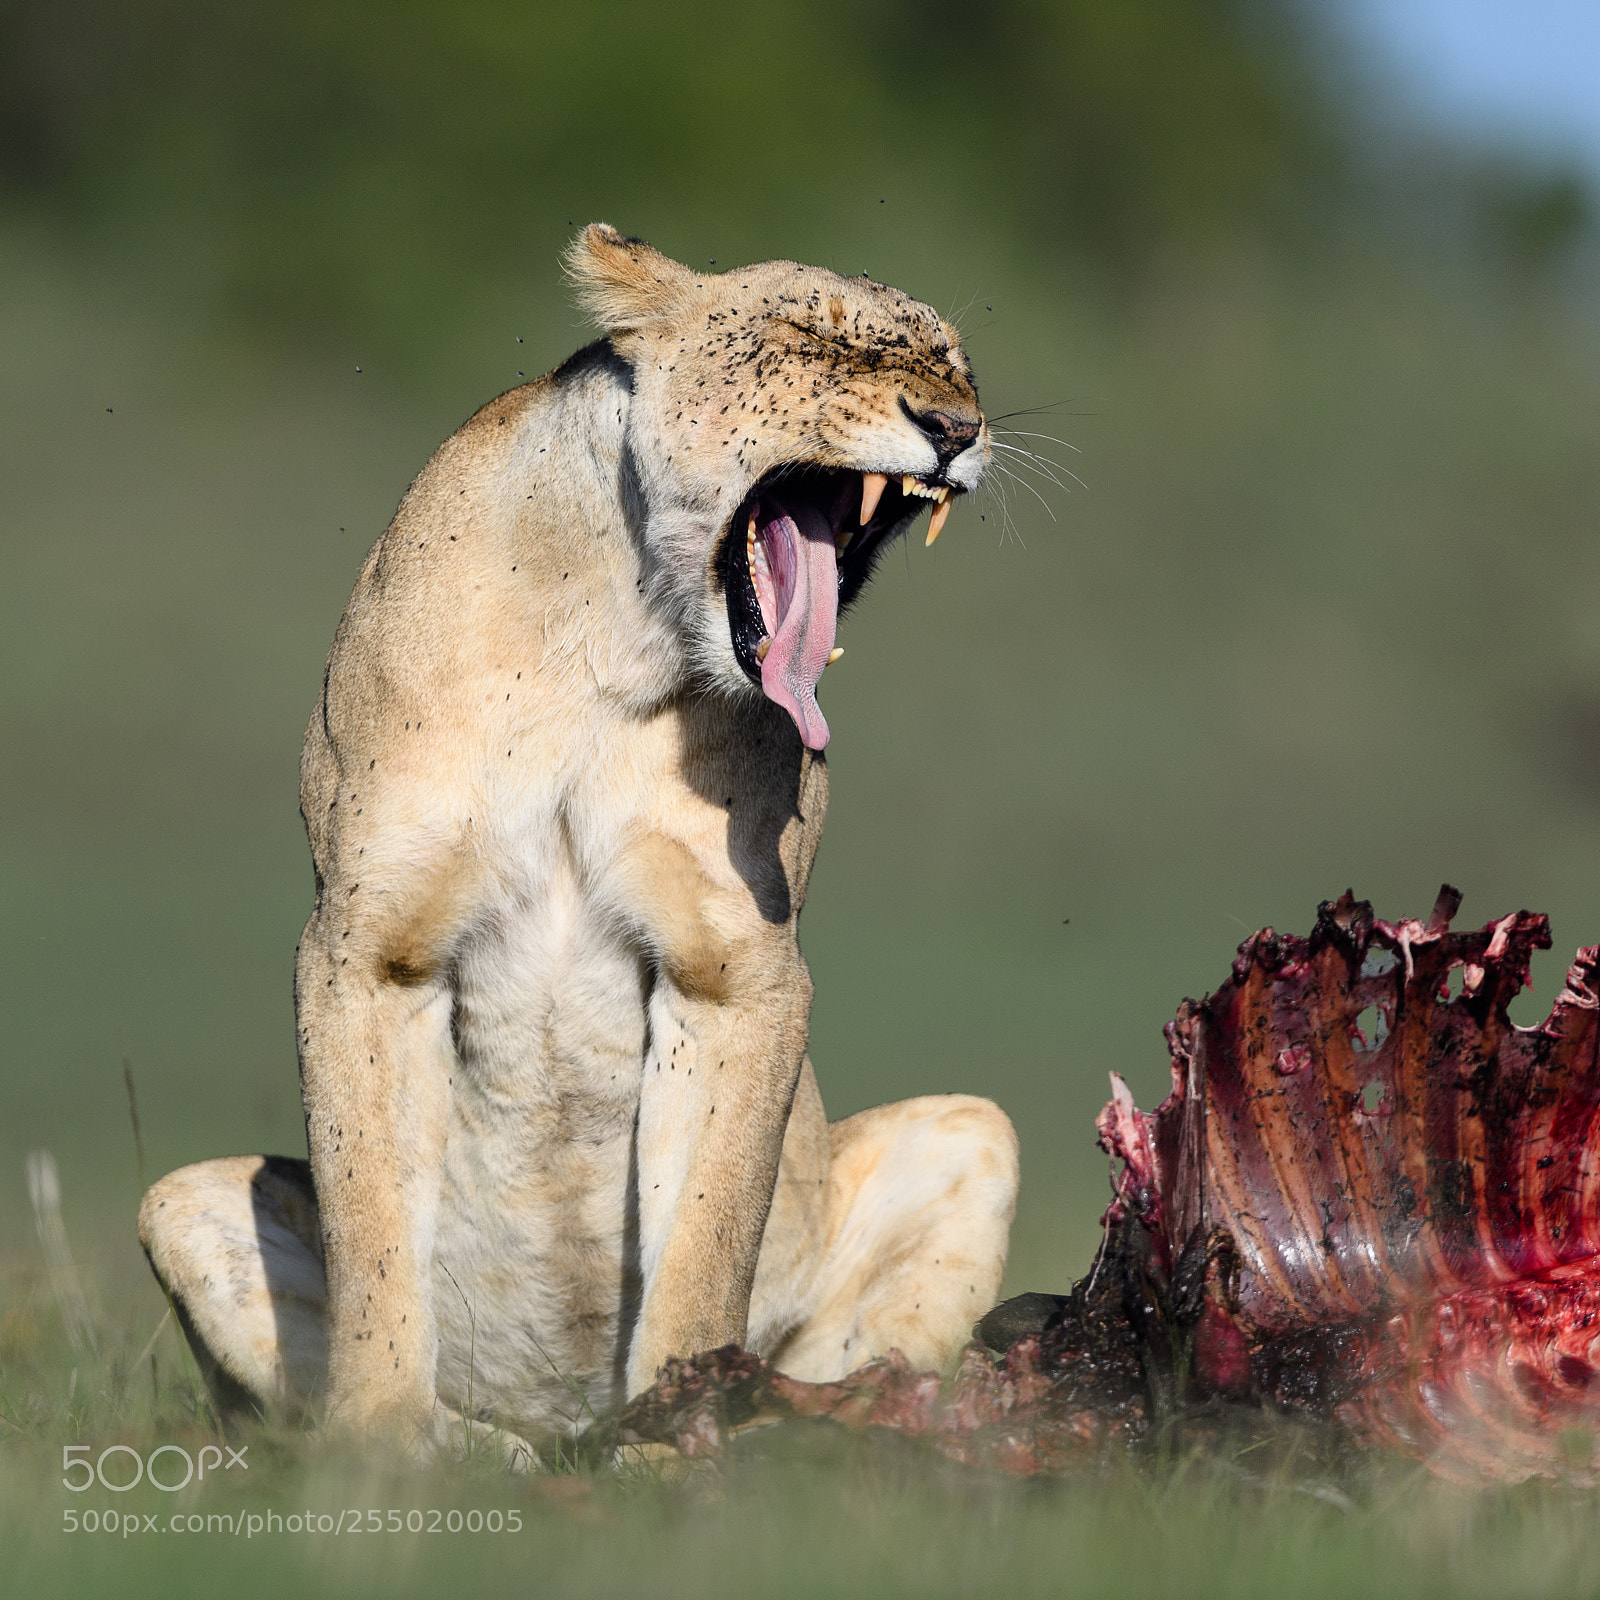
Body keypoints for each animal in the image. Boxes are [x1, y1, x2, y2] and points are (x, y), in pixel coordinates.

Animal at [138, 225, 1019, 1458]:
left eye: (958, 363)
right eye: (808, 334)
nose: (957, 427)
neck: (614, 641)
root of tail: (562, 1420)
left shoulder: (737, 969)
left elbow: (707, 1239)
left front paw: (680, 1440)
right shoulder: (365, 947)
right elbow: (373, 1238)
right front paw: (382, 1450)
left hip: (974, 1133)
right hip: (176, 1200)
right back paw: (493, 1455)